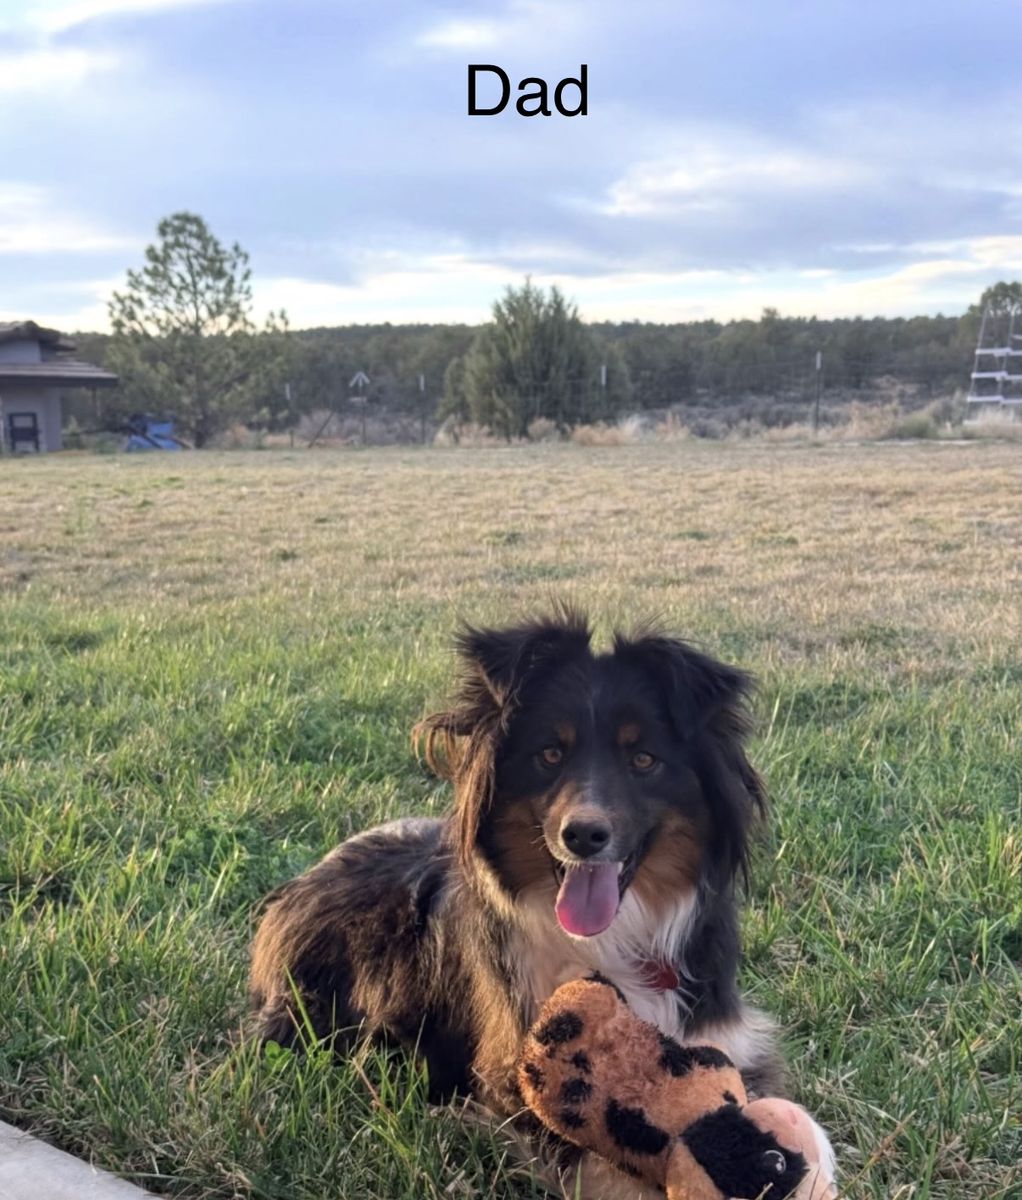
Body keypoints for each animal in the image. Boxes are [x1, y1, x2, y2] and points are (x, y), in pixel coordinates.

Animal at [250, 610, 789, 1197]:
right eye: (549, 754)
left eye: (644, 759)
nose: (583, 836)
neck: (611, 938)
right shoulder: (518, 1084)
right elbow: (606, 1165)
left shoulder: (723, 1043)